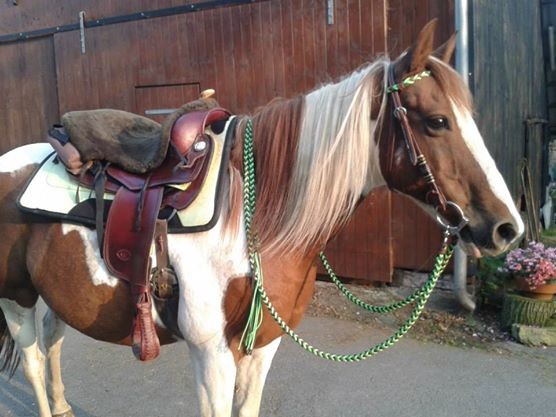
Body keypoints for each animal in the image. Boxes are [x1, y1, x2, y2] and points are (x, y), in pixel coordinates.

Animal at [0, 19, 520, 416]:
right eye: (437, 121)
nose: (506, 229)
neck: (256, 222)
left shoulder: (263, 346)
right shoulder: (211, 354)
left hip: (58, 293)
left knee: (52, 343)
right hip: (16, 296)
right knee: (32, 359)